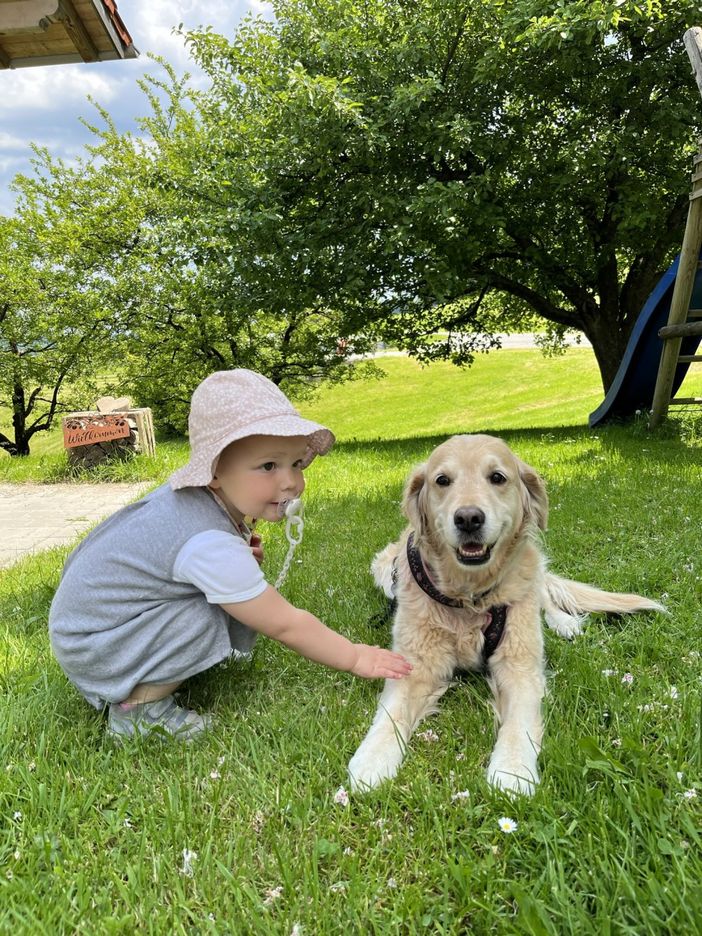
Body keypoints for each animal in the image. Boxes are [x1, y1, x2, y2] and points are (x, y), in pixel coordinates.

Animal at [350, 436, 668, 796]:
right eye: (442, 480)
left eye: (497, 477)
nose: (469, 518)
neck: (471, 597)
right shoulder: (415, 665)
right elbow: (392, 715)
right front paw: (371, 761)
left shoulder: (520, 666)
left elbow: (519, 723)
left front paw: (512, 772)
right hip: (382, 571)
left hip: (532, 574)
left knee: (546, 596)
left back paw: (564, 623)